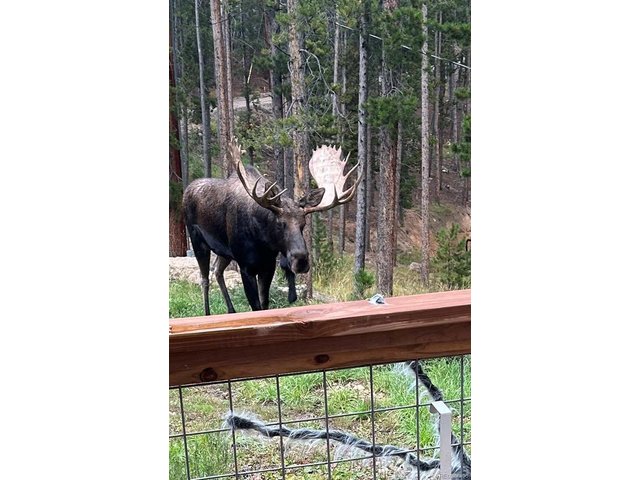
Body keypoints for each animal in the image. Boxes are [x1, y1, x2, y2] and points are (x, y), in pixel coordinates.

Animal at [182, 139, 361, 315]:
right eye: (280, 223)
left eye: (303, 224)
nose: (301, 260)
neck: (263, 242)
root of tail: (187, 190)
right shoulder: (245, 267)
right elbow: (256, 307)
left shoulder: (268, 267)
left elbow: (265, 304)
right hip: (198, 241)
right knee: (204, 278)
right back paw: (207, 313)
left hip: (225, 252)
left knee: (217, 271)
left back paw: (231, 310)